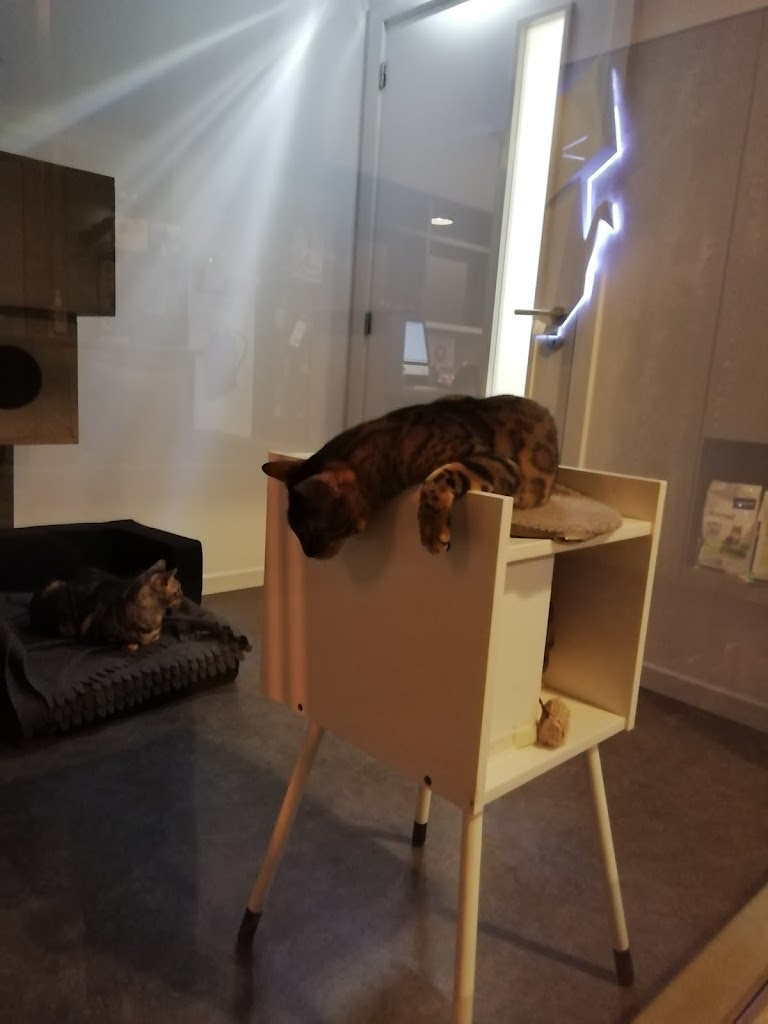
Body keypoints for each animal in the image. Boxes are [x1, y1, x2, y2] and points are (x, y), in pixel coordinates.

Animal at [30, 560, 183, 652]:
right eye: (178, 590)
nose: (183, 595)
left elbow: (152, 639)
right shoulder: (98, 634)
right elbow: (130, 644)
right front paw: (130, 644)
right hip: (59, 593)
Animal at [263, 394, 558, 558]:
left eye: (312, 530)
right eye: (295, 531)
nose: (308, 555)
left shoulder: (500, 463)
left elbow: (439, 477)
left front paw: (431, 529)